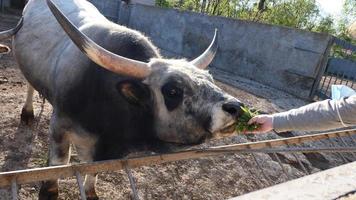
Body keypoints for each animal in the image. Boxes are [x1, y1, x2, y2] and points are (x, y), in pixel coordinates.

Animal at [1, 0, 243, 198]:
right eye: (172, 91)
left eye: (211, 78)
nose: (236, 107)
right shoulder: (60, 128)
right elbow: (58, 166)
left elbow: (94, 172)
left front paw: (91, 191)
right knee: (30, 87)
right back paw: (27, 114)